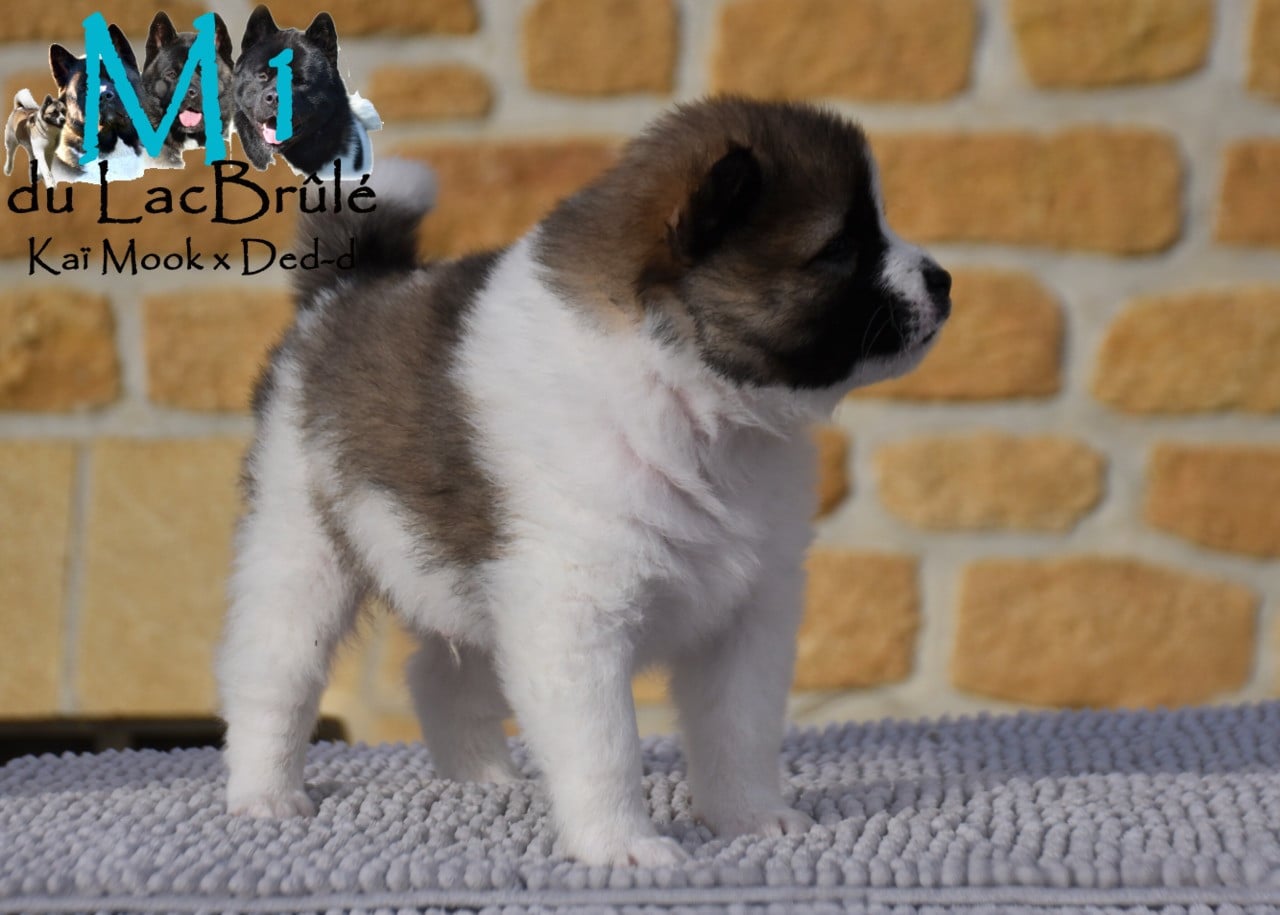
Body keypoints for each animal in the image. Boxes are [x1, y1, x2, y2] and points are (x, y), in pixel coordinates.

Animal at [217, 98, 951, 866]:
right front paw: (620, 844)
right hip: (300, 545)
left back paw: (484, 779)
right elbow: (605, 745)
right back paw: (264, 792)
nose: (944, 280)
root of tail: (340, 294)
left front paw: (752, 817)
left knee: (441, 678)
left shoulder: (747, 614)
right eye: (841, 247)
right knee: (273, 673)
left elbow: (741, 730)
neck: (689, 397)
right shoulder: (574, 613)